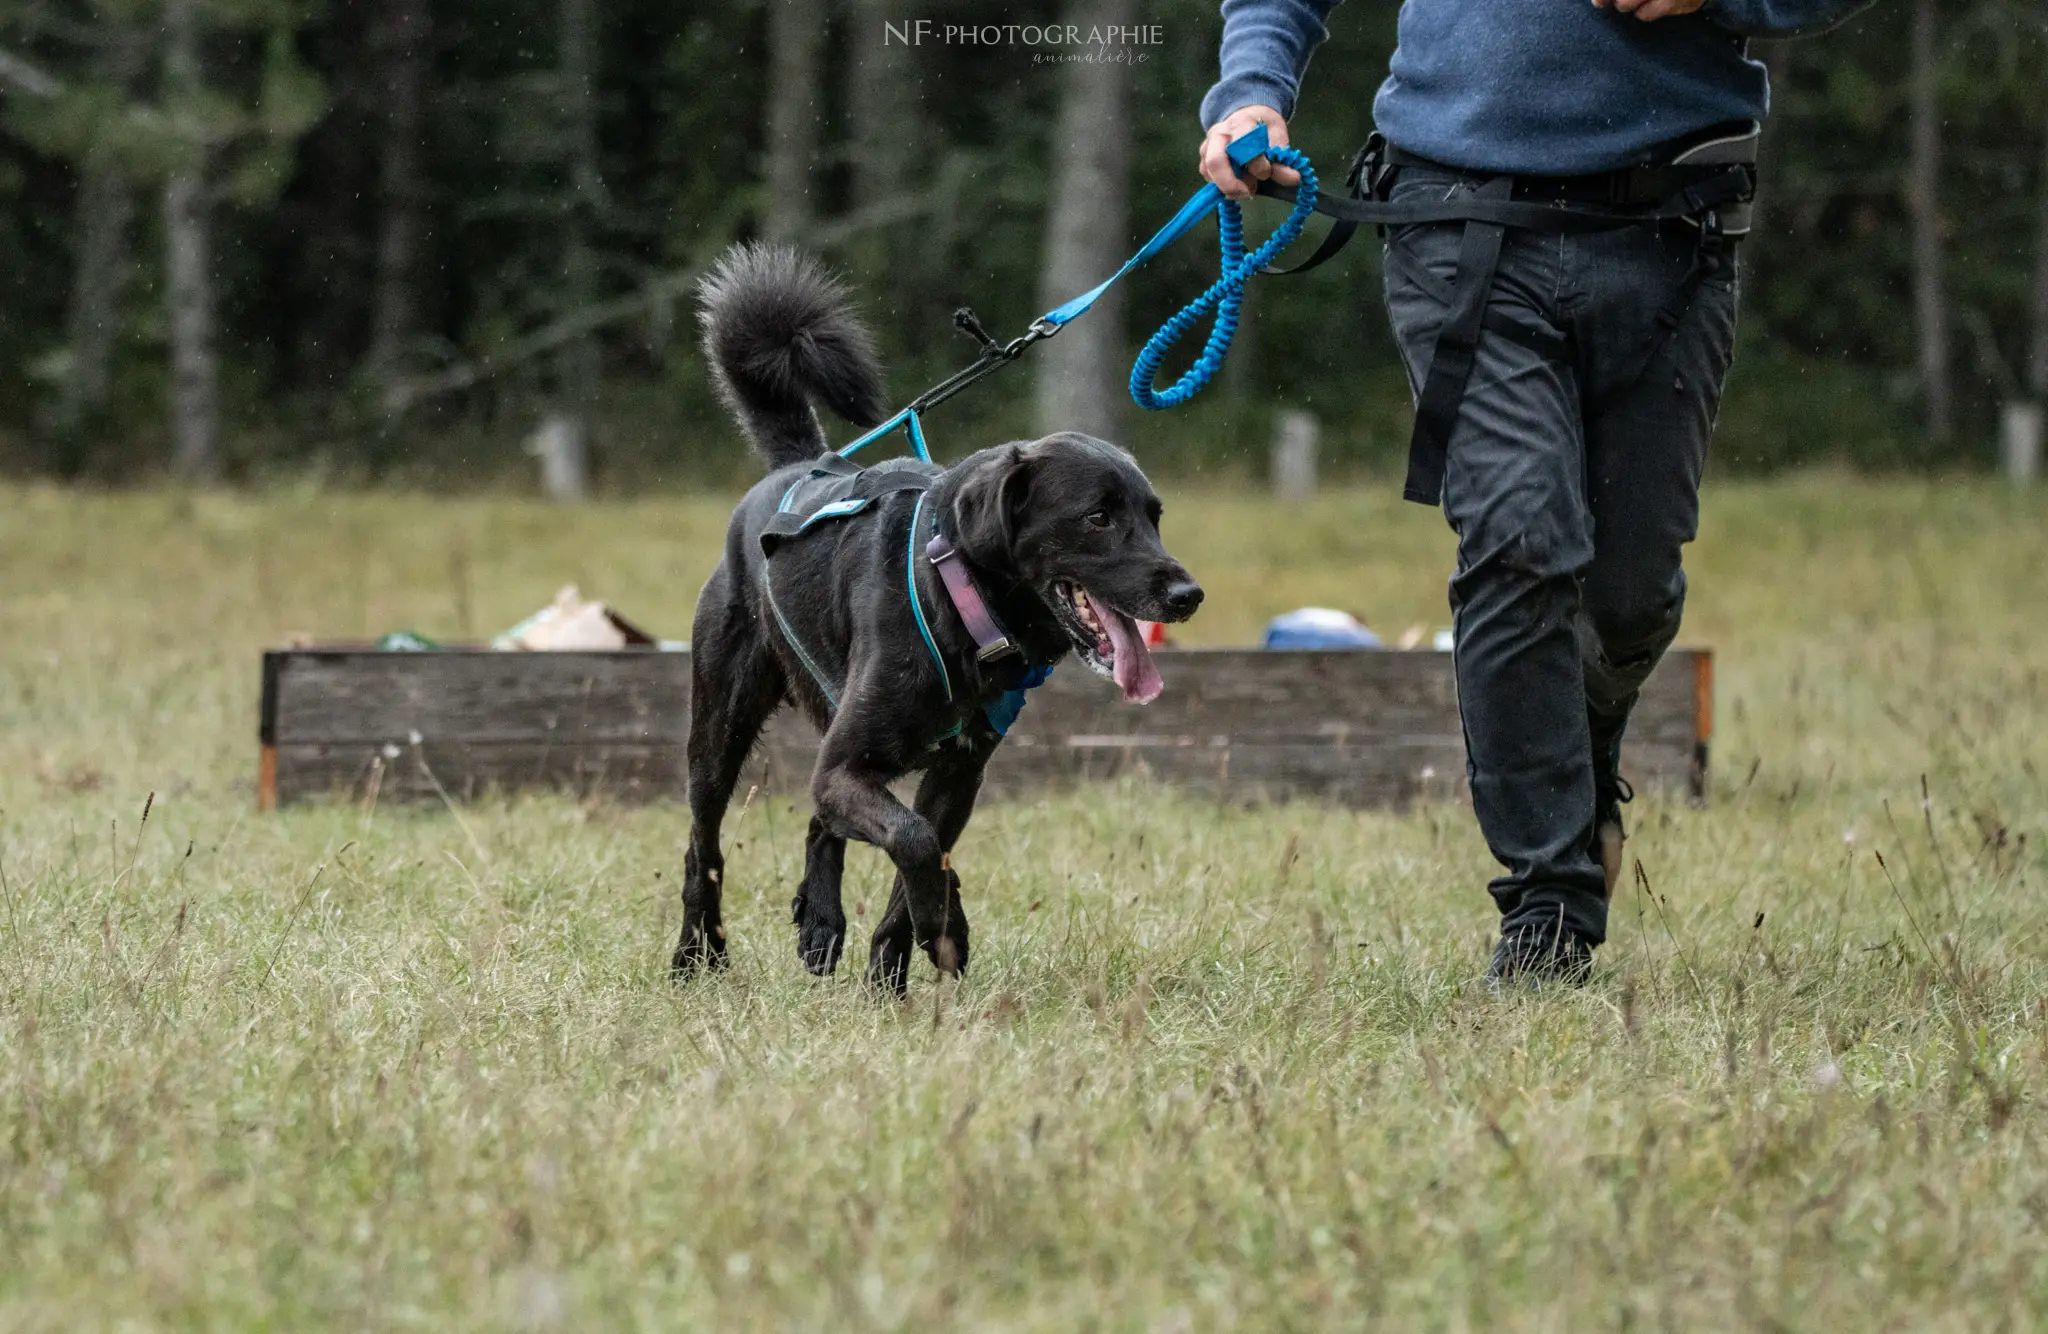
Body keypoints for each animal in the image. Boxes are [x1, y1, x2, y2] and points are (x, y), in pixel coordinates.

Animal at [671, 242, 1196, 991]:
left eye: (1153, 517)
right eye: (1098, 516)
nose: (1188, 594)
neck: (960, 600)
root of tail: (798, 467)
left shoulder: (957, 774)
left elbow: (920, 852)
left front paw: (892, 979)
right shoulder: (848, 769)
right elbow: (915, 842)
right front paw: (944, 927)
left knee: (819, 826)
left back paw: (820, 923)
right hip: (721, 725)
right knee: (703, 843)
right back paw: (697, 955)